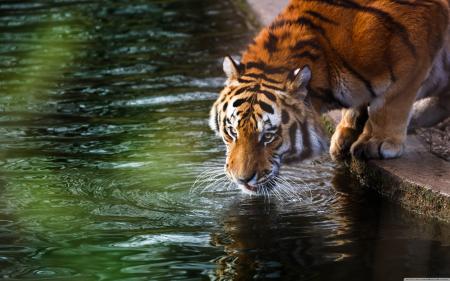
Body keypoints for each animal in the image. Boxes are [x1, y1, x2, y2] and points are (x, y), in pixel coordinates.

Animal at [209, 0, 448, 192]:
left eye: (268, 136)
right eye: (232, 132)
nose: (241, 180)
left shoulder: (414, 56)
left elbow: (390, 104)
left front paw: (377, 141)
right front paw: (346, 134)